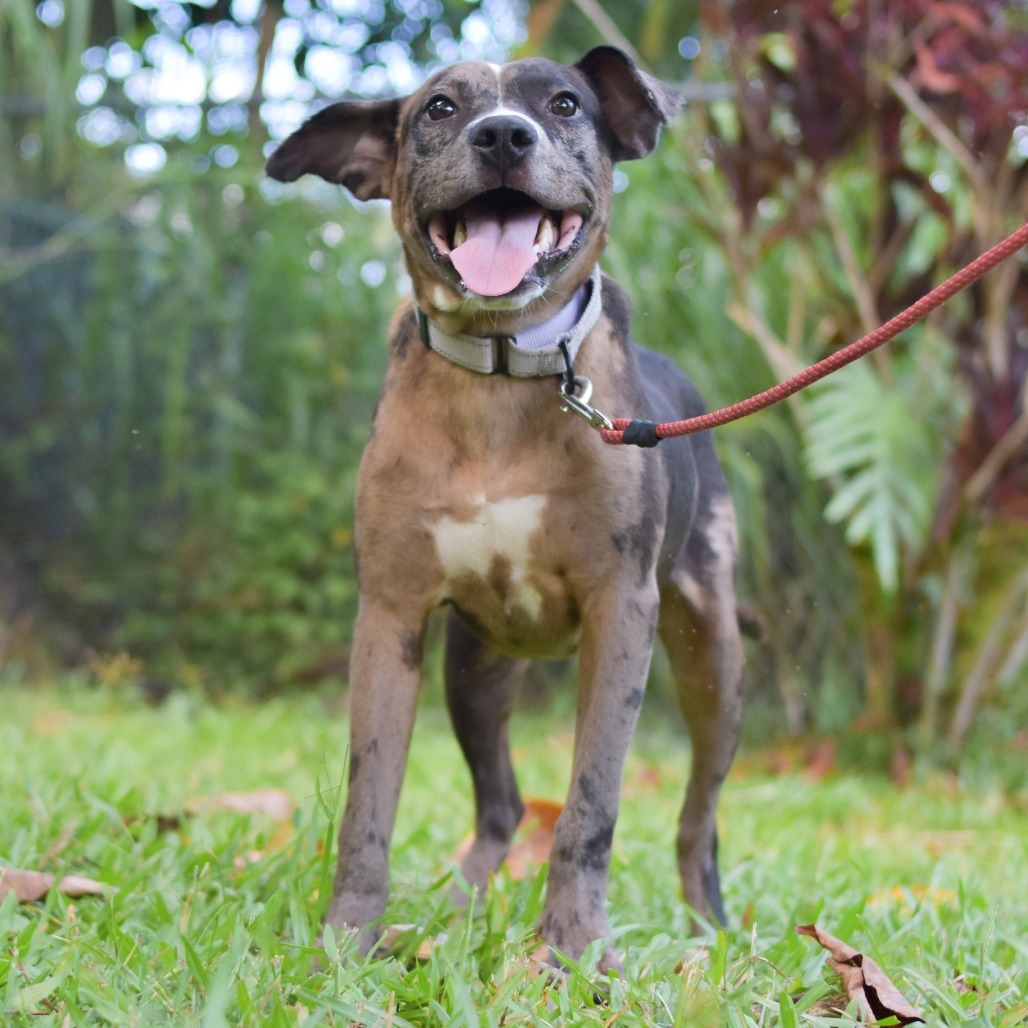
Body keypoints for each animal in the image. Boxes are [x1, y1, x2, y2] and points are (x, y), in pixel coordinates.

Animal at [267, 44, 748, 970]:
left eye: (563, 104)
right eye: (440, 108)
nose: (501, 135)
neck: (502, 371)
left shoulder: (622, 613)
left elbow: (591, 807)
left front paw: (575, 949)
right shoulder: (390, 618)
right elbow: (367, 805)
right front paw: (348, 942)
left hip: (714, 661)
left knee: (698, 818)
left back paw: (711, 927)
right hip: (474, 673)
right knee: (502, 804)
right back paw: (458, 909)